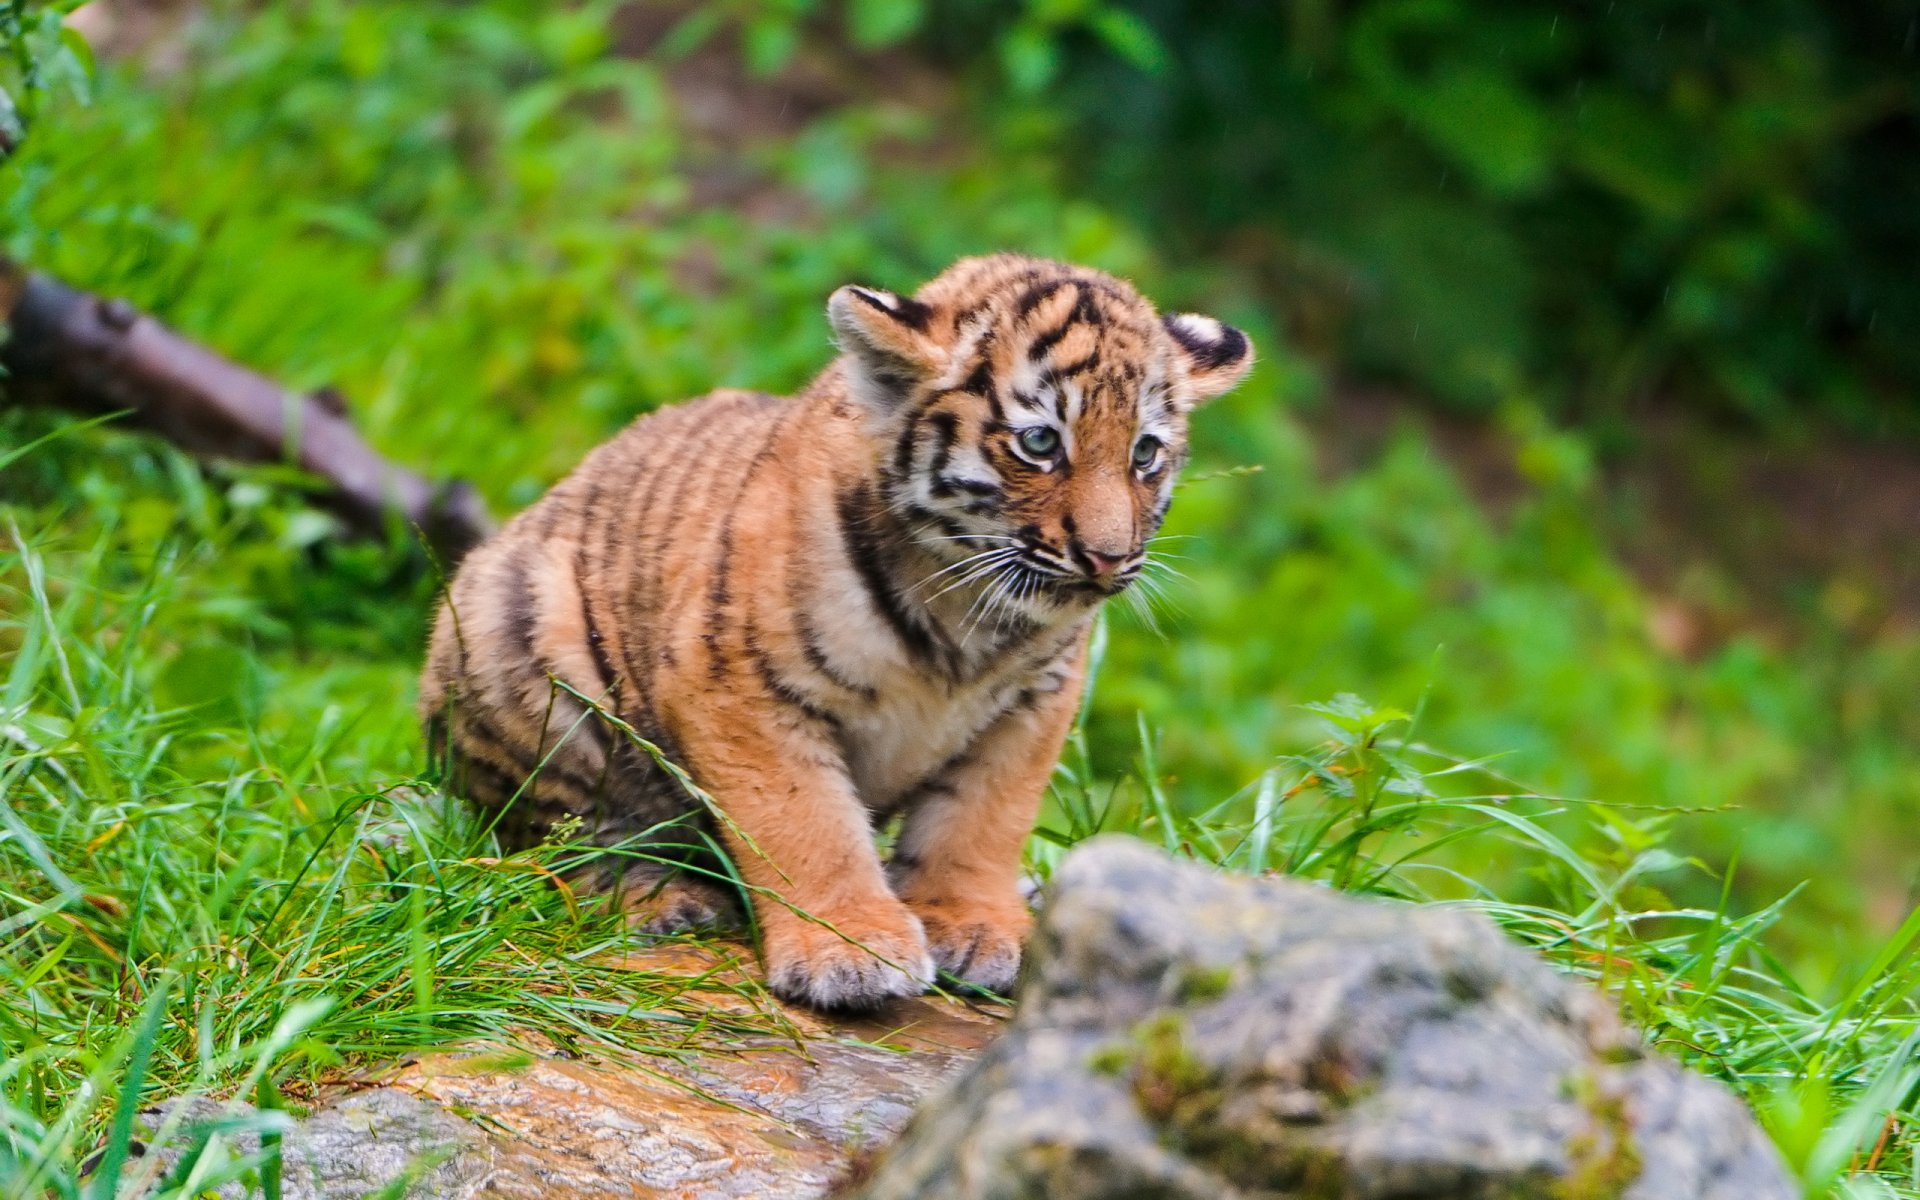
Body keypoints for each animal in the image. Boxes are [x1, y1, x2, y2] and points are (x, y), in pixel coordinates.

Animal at [418, 253, 1253, 1009]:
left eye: (1144, 453)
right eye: (1040, 442)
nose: (1108, 556)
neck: (971, 609)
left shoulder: (1033, 703)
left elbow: (982, 818)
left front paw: (976, 925)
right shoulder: (735, 683)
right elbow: (806, 823)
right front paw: (850, 951)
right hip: (519, 638)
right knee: (547, 838)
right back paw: (663, 899)